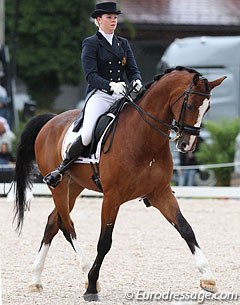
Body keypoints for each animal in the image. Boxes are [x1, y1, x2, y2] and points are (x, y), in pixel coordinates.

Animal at [14, 66, 226, 300]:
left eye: (207, 108)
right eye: (189, 105)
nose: (187, 145)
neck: (144, 138)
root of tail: (52, 120)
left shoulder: (160, 193)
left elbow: (186, 229)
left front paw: (208, 278)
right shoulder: (112, 198)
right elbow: (104, 242)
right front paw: (91, 286)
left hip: (74, 186)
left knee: (53, 222)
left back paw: (36, 280)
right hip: (58, 186)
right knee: (66, 225)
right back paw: (85, 272)